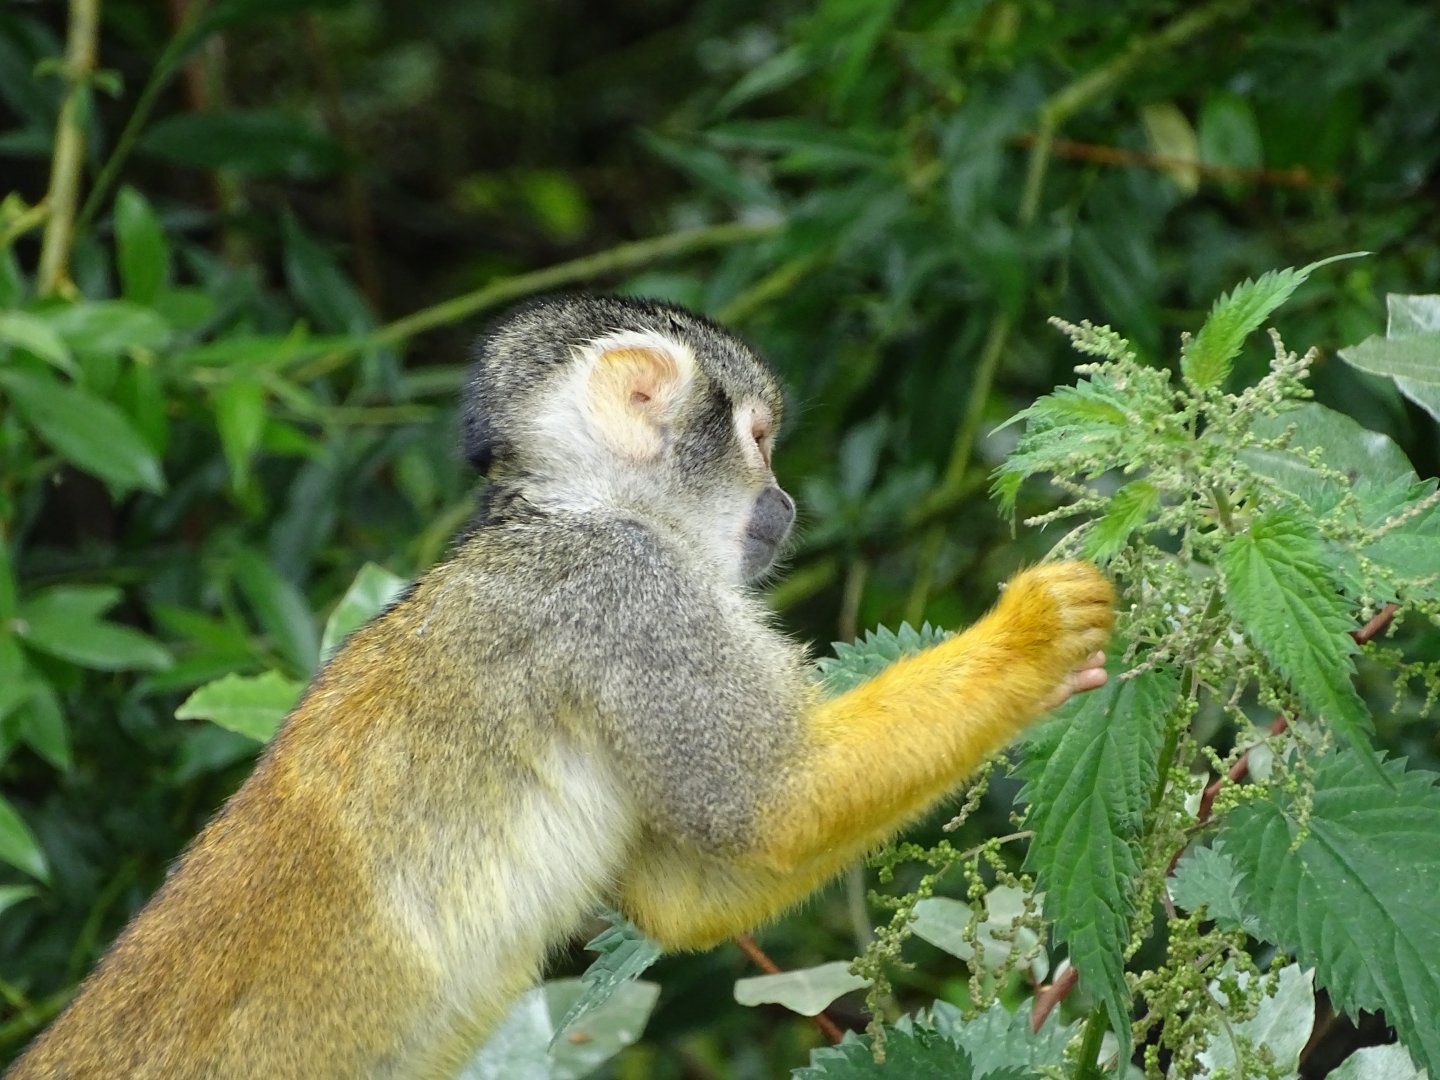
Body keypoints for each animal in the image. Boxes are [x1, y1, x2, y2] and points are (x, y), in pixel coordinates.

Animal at [7, 293, 1113, 1079]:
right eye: (759, 439)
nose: (786, 503)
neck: (572, 510)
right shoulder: (629, 597)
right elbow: (769, 807)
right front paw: (1034, 636)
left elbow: (691, 895)